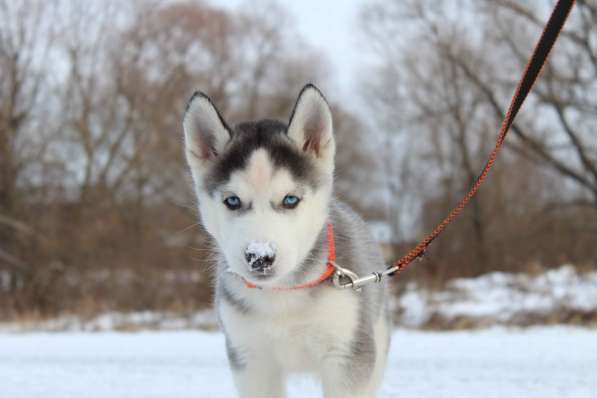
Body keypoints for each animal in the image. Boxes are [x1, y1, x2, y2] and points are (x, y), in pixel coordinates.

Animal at [184, 84, 394, 398]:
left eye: (290, 199)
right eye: (232, 201)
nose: (260, 257)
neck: (282, 296)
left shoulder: (347, 357)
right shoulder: (250, 360)